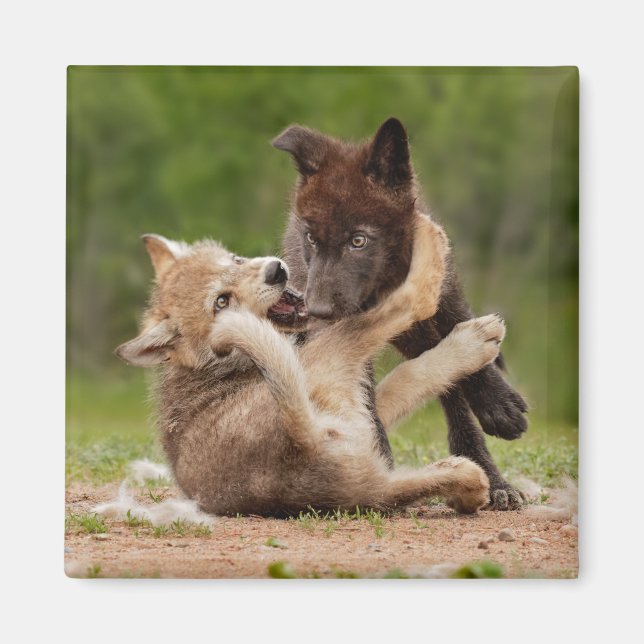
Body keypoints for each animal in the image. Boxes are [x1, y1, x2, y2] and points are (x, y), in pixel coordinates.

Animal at [115, 214, 505, 516]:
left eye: (236, 259)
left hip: (372, 474)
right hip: (335, 352)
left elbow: (403, 383)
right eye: (221, 302)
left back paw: (467, 483)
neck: (220, 366)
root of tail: (299, 444)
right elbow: (412, 367)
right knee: (411, 303)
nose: (276, 271)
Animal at [273, 117, 528, 510]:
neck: (385, 286)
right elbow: (365, 404)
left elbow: (467, 350)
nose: (315, 309)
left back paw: (491, 474)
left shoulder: (444, 300)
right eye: (312, 238)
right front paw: (377, 465)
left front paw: (498, 404)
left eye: (358, 241)